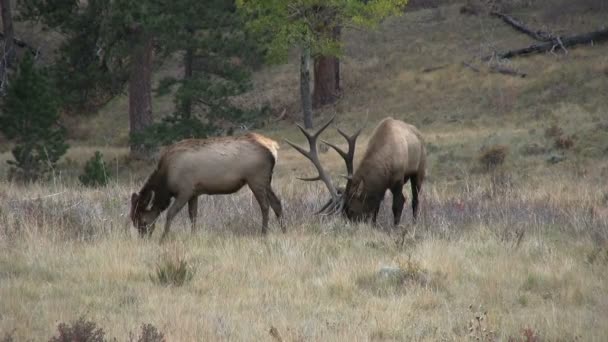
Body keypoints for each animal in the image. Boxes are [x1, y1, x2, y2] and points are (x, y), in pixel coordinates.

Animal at [130, 132, 282, 239]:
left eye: (142, 221)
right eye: (134, 221)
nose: (143, 238)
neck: (166, 181)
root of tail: (274, 147)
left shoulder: (185, 190)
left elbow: (170, 213)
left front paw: (163, 238)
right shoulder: (194, 193)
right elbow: (193, 215)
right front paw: (193, 236)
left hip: (256, 179)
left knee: (265, 206)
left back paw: (263, 234)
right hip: (266, 181)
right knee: (277, 203)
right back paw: (284, 231)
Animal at [286, 116, 426, 226]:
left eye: (351, 210)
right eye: (344, 214)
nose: (354, 227)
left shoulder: (398, 179)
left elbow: (397, 205)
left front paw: (395, 228)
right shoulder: (381, 187)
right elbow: (376, 207)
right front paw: (374, 225)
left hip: (419, 171)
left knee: (415, 200)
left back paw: (414, 223)